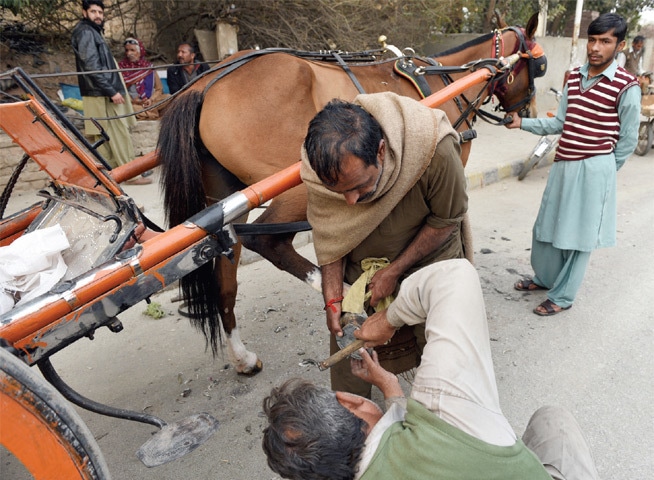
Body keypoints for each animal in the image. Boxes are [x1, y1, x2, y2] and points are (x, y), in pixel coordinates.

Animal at [159, 13, 548, 376]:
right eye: (539, 67)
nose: (526, 113)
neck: (446, 76)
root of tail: (205, 84)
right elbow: (444, 225)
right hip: (301, 183)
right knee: (266, 240)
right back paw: (347, 297)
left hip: (225, 201)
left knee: (226, 270)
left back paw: (243, 356)